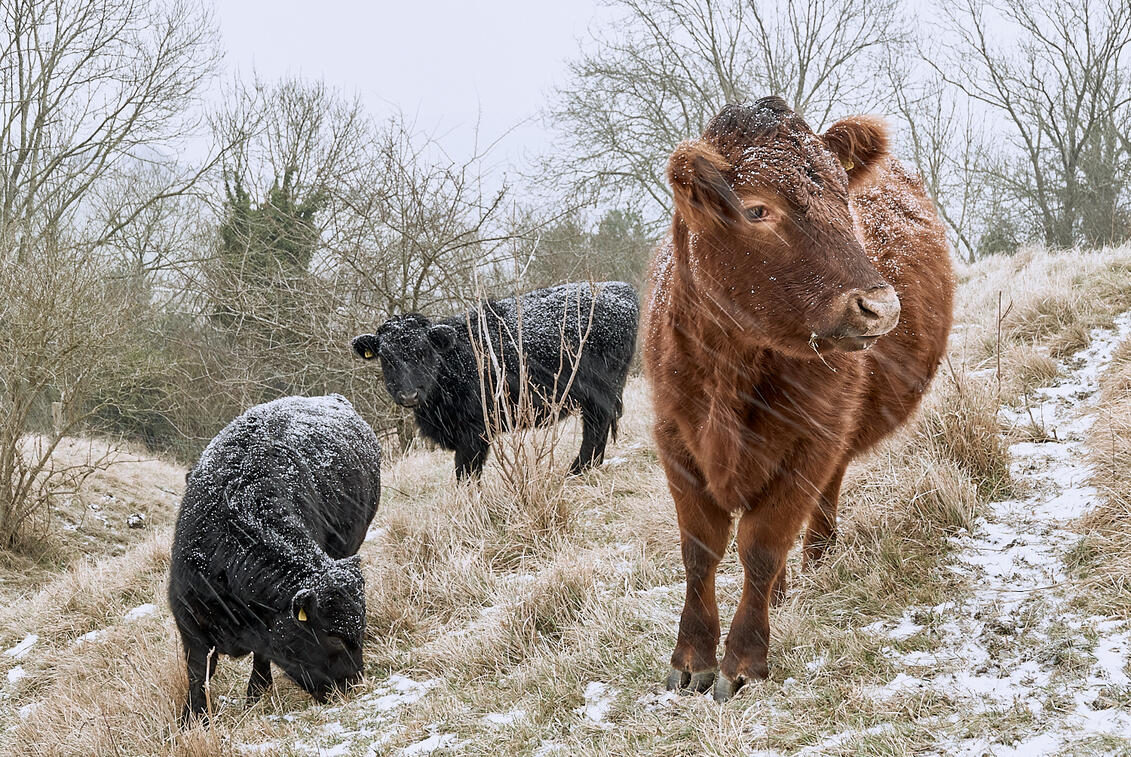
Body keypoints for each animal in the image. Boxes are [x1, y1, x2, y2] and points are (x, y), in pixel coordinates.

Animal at [168, 394, 381, 723]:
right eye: (332, 636)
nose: (353, 684)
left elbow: (262, 655)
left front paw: (255, 694)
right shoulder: (188, 617)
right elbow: (197, 672)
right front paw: (193, 718)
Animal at [351, 282, 639, 479]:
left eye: (424, 352)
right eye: (386, 358)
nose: (409, 395)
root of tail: (619, 288)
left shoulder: (473, 431)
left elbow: (466, 474)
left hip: (600, 389)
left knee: (596, 425)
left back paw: (578, 470)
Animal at [645, 97, 954, 701]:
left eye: (844, 198)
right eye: (757, 210)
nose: (880, 306)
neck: (730, 369)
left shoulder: (811, 441)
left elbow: (761, 547)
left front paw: (743, 662)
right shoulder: (675, 441)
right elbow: (700, 551)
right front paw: (691, 658)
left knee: (820, 498)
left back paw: (817, 556)